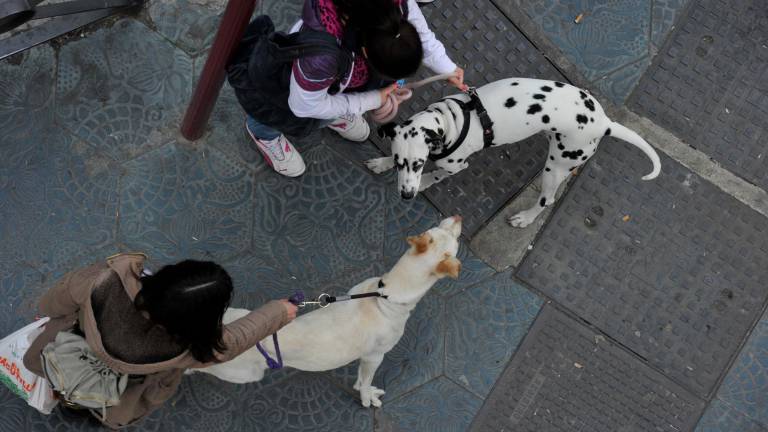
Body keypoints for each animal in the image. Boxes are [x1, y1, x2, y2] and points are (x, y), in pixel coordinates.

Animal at [194, 218, 462, 406]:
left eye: (436, 228)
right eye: (449, 235)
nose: (458, 216)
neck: (387, 294)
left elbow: (360, 379)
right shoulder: (375, 356)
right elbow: (367, 382)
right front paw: (367, 397)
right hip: (244, 373)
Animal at [364, 77, 660, 228]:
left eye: (418, 164)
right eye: (401, 163)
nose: (406, 195)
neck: (451, 121)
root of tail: (604, 123)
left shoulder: (456, 165)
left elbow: (439, 174)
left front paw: (425, 182)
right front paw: (382, 163)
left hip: (556, 168)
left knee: (547, 200)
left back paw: (525, 218)